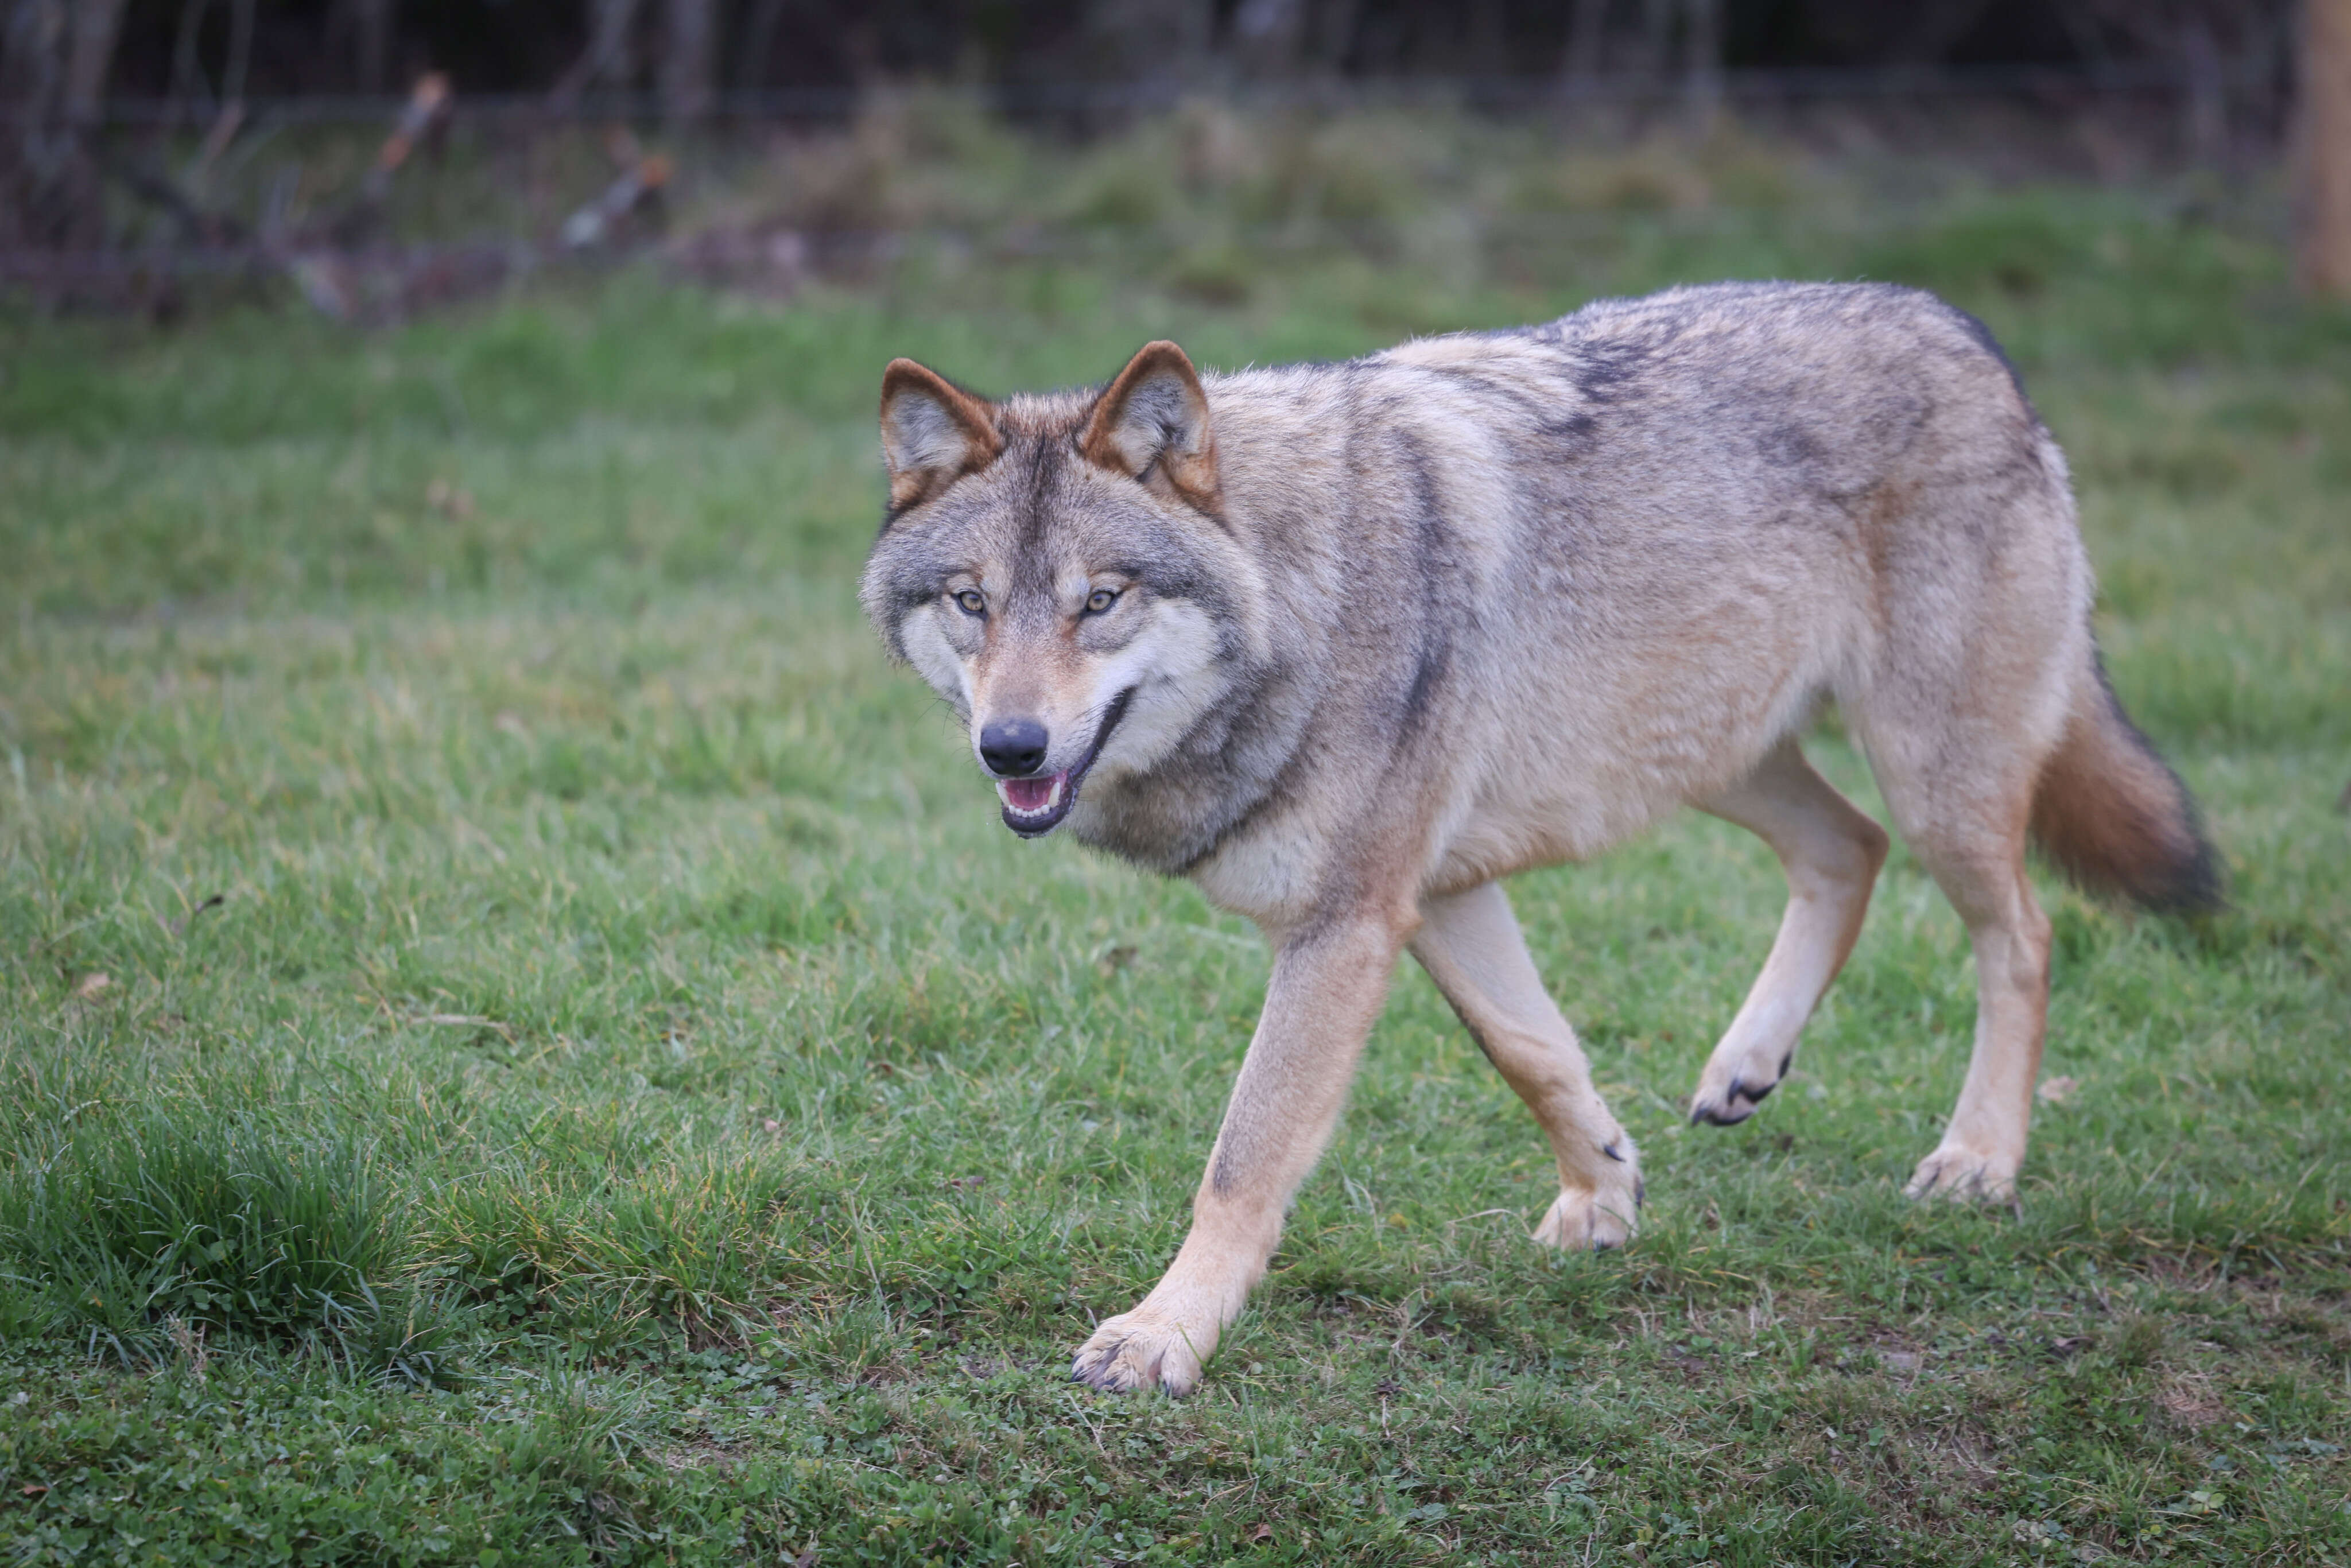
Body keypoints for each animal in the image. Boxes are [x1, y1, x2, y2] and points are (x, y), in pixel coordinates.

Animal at [860, 282, 2219, 1401]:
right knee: (1849, 847)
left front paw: (1160, 1337)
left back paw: (1978, 1161)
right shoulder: (1440, 892)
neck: (1304, 594)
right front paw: (1604, 1192)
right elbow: (1531, 1051)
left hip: (1930, 775)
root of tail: (1967, 334)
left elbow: (1243, 1159)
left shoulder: (1347, 923)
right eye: (972, 602)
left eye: (1100, 600)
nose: (1012, 747)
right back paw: (1746, 1065)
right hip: (1717, 759)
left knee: (2023, 931)